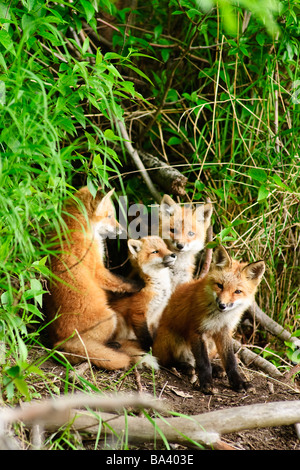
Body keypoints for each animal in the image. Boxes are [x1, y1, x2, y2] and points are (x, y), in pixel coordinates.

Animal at [43, 187, 149, 370]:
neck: (75, 229)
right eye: (109, 216)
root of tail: (60, 342)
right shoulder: (98, 270)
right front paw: (138, 285)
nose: (122, 230)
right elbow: (119, 281)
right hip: (111, 318)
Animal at [152, 246, 264, 392]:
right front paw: (206, 383)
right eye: (220, 285)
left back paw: (215, 368)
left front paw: (239, 382)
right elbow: (203, 363)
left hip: (211, 344)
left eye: (237, 291)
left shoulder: (224, 331)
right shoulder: (196, 331)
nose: (222, 305)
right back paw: (184, 366)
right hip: (172, 338)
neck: (220, 317)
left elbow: (231, 361)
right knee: (166, 361)